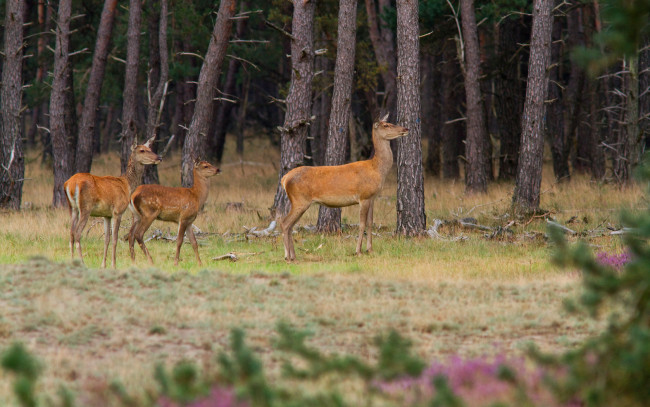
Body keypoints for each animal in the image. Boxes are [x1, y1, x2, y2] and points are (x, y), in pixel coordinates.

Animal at [63, 137, 161, 270]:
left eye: (149, 148)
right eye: (142, 150)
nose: (159, 157)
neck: (127, 186)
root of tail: (70, 184)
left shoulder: (106, 215)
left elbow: (106, 239)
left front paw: (103, 265)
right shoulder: (117, 211)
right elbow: (115, 239)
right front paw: (113, 265)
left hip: (72, 207)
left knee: (71, 233)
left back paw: (72, 261)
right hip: (85, 207)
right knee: (77, 233)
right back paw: (82, 262)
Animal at [278, 114, 404, 262]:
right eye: (386, 125)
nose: (405, 129)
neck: (377, 169)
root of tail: (285, 179)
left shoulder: (372, 198)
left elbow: (370, 222)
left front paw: (370, 250)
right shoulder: (364, 196)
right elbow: (361, 224)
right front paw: (358, 251)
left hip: (299, 202)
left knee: (290, 225)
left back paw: (292, 256)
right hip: (300, 200)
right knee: (285, 223)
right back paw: (288, 257)